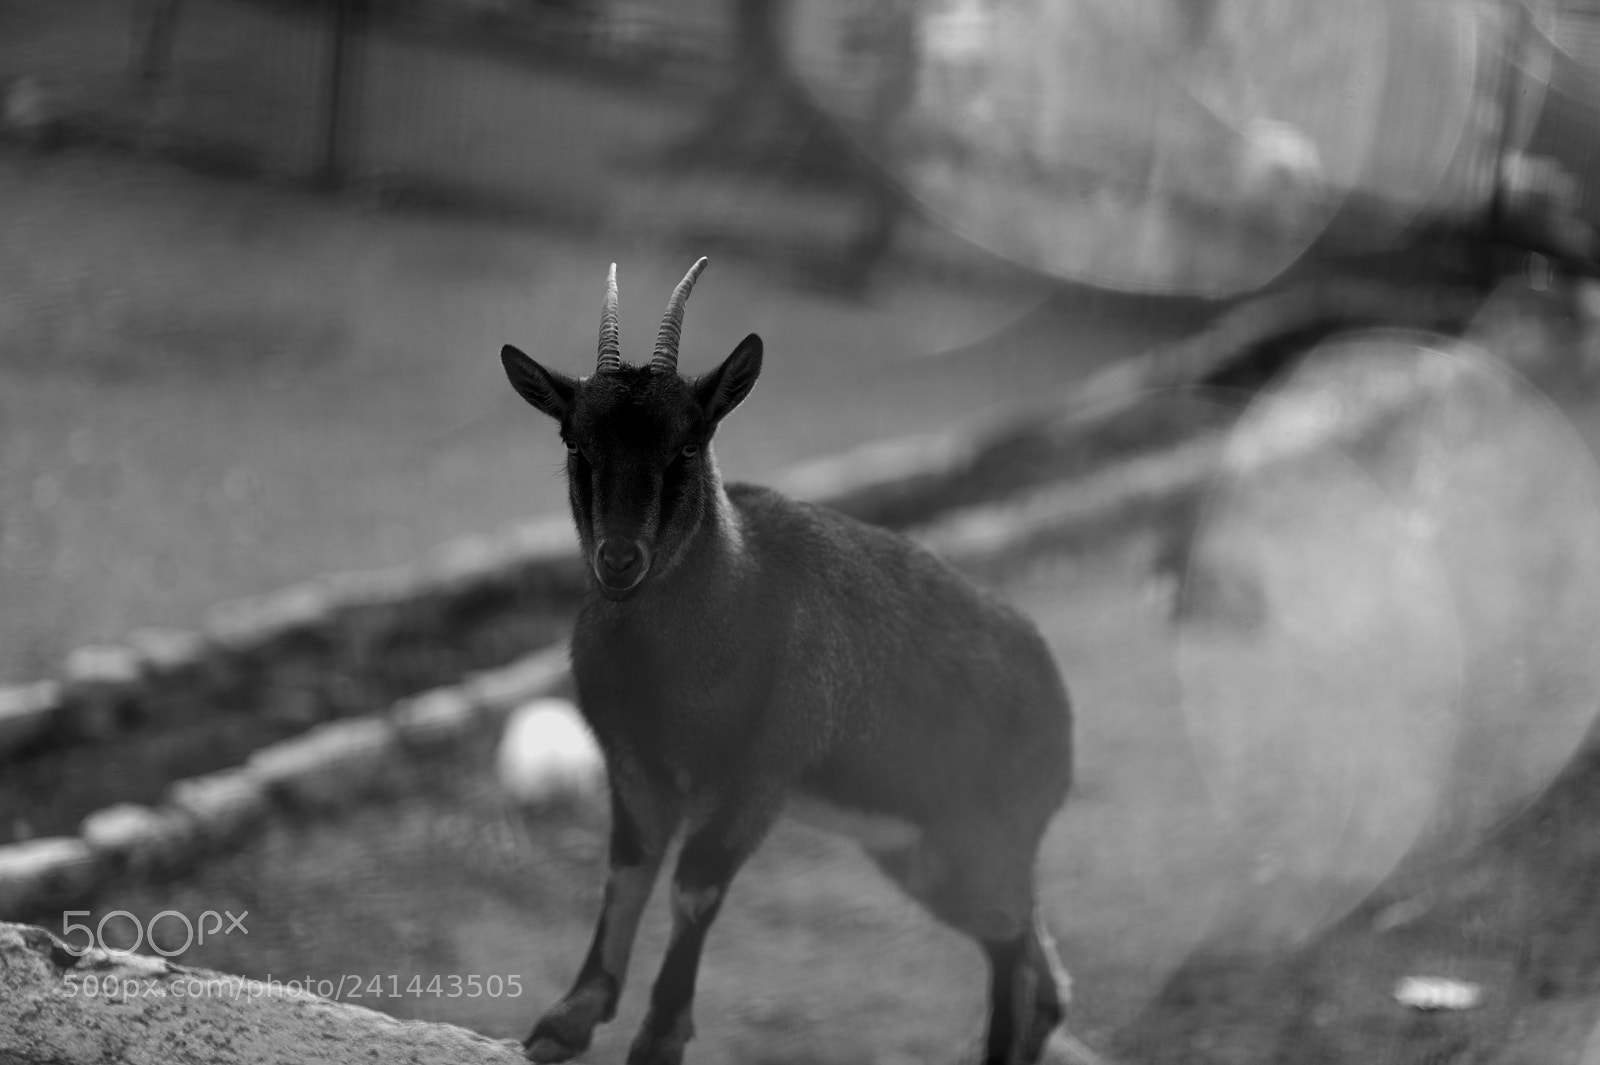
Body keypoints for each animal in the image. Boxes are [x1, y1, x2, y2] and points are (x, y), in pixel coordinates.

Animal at [499, 259, 1075, 1065]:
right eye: (576, 442)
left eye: (689, 444)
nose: (619, 559)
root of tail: (1059, 705)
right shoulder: (635, 762)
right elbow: (628, 870)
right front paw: (568, 1017)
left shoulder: (760, 774)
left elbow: (695, 888)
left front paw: (659, 1037)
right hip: (927, 851)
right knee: (1028, 952)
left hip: (981, 835)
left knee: (1013, 942)